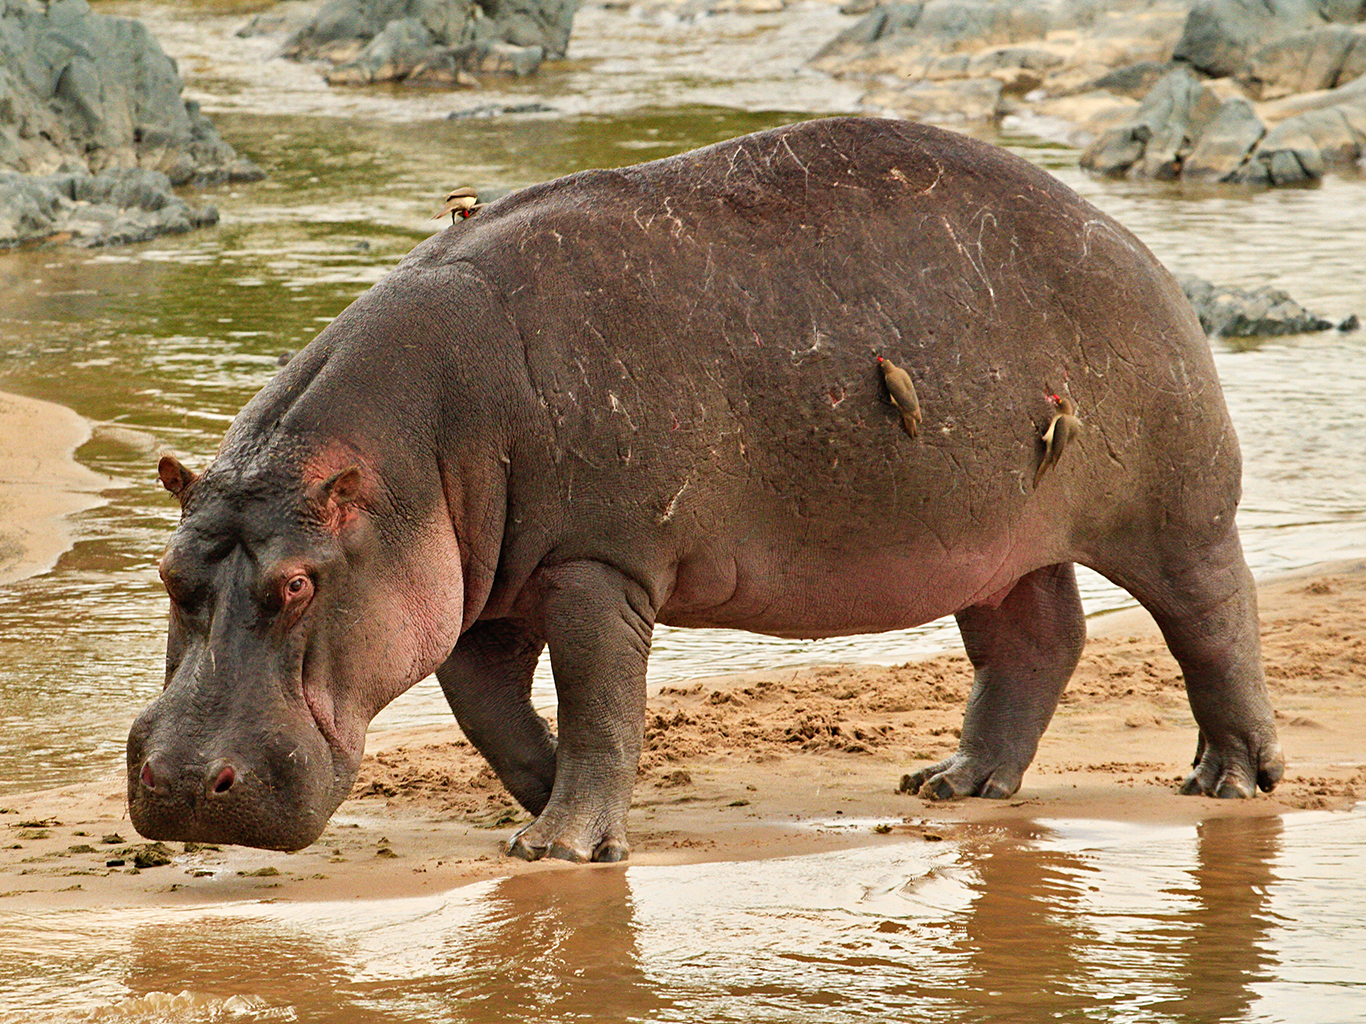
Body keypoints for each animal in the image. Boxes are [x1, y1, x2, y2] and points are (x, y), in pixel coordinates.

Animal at [128, 116, 1278, 862]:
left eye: (296, 586)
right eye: (167, 575)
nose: (180, 784)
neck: (408, 450)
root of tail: (1125, 237)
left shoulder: (596, 563)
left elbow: (599, 699)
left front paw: (559, 848)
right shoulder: (475, 589)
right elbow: (494, 714)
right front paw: (547, 803)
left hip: (1176, 512)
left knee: (1213, 618)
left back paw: (1231, 778)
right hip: (992, 540)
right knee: (1036, 639)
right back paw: (956, 782)